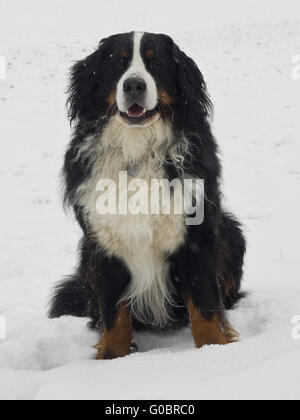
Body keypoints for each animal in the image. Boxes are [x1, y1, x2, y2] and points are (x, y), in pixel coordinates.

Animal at [49, 32, 246, 360]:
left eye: (157, 63)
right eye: (116, 62)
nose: (134, 86)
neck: (137, 150)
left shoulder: (196, 236)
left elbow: (205, 307)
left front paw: (213, 351)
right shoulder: (103, 244)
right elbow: (114, 316)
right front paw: (111, 359)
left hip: (230, 231)